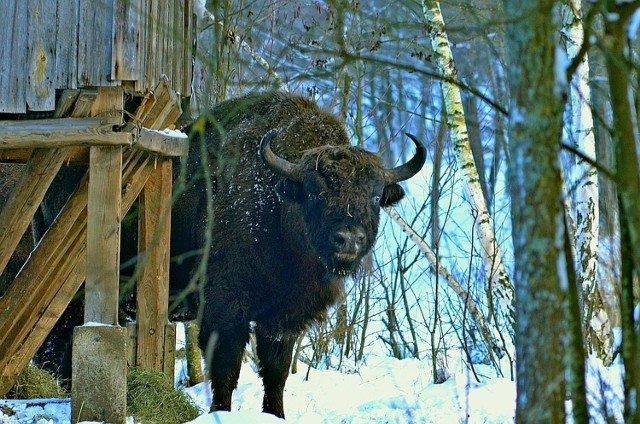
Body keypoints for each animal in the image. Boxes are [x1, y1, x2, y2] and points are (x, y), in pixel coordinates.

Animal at [180, 91, 428, 416]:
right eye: (314, 191)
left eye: (376, 196)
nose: (349, 240)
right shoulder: (225, 308)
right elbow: (226, 369)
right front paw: (220, 413)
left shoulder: (285, 317)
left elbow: (276, 372)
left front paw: (275, 414)